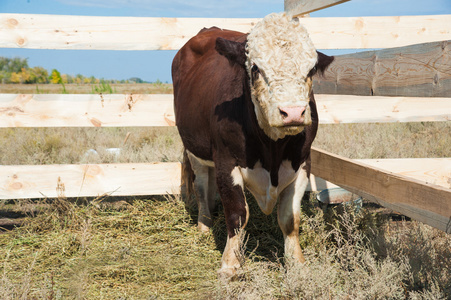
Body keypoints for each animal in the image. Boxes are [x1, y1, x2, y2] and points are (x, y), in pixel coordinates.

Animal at [173, 12, 336, 278]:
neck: (272, 149)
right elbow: (237, 214)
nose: (293, 112)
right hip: (194, 150)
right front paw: (230, 264)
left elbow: (290, 218)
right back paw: (204, 225)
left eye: (311, 69)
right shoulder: (226, 162)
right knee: (201, 186)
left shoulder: (303, 163)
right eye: (256, 68)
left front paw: (297, 262)